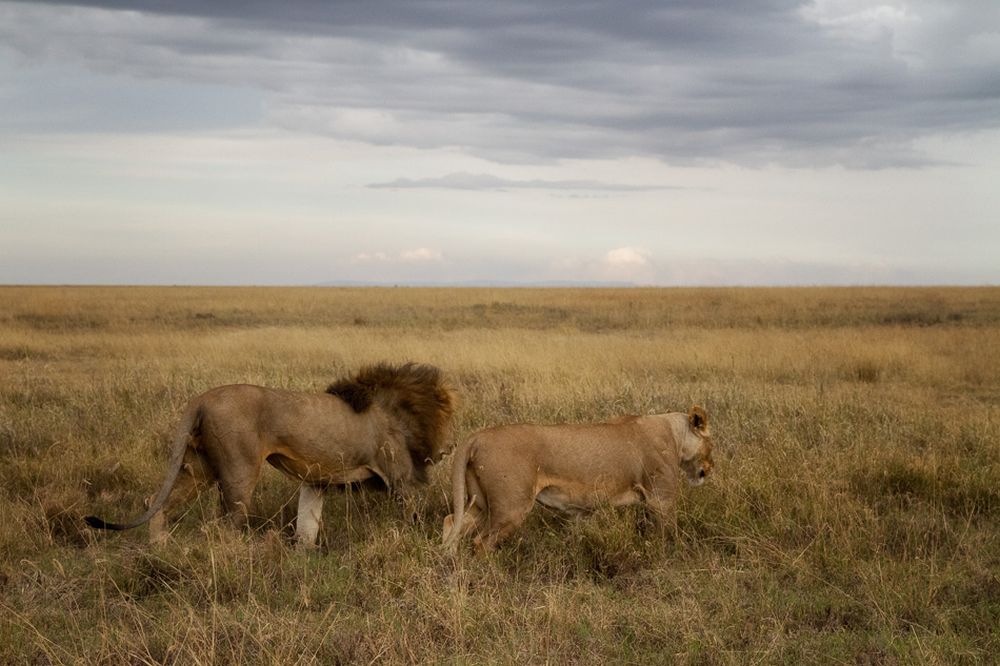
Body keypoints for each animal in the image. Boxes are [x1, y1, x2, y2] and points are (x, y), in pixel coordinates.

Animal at [88, 364, 456, 544]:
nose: (449, 447)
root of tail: (201, 399)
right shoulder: (400, 481)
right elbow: (411, 516)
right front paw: (414, 541)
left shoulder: (315, 481)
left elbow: (307, 525)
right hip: (239, 471)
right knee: (225, 524)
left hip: (197, 468)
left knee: (157, 502)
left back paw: (158, 551)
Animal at [444, 404, 712, 548]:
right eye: (711, 444)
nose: (709, 470)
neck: (675, 435)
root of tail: (476, 437)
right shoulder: (661, 498)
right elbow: (669, 533)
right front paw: (673, 554)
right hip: (510, 507)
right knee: (481, 542)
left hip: (481, 503)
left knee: (451, 521)